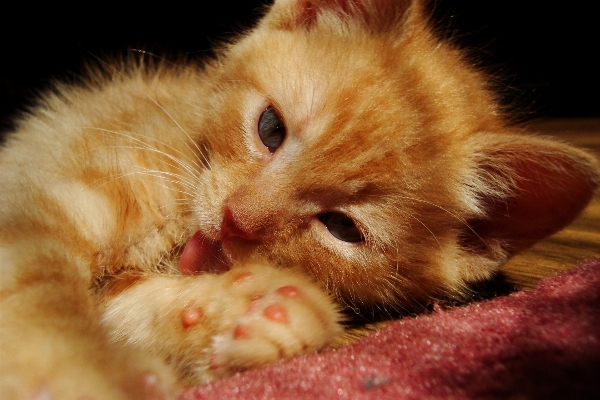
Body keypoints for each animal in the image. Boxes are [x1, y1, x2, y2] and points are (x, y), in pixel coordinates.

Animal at [1, 0, 600, 398]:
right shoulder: (33, 197)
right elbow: (40, 291)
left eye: (342, 228)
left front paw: (257, 311)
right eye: (270, 129)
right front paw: (80, 373)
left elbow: (123, 303)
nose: (234, 219)